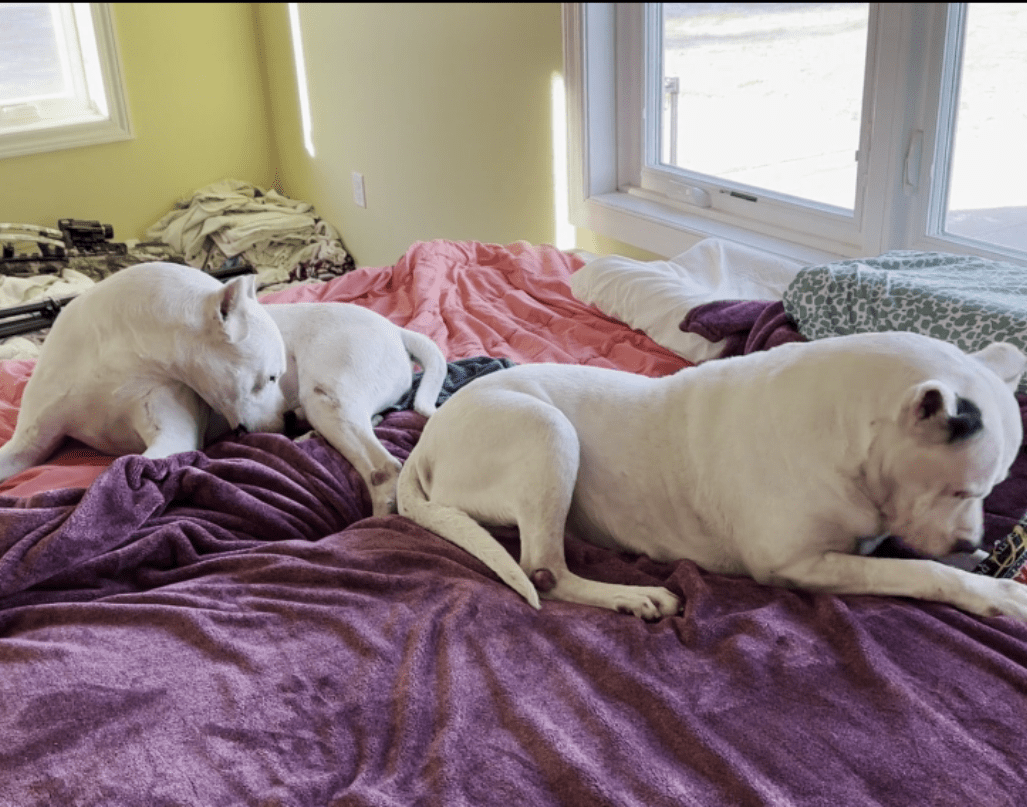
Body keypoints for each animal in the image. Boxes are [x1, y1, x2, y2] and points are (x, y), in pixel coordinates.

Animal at [394, 330, 1027, 620]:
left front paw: (984, 562)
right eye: (962, 488)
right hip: (546, 430)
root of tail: (429, 439)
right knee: (544, 571)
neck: (849, 435)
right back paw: (633, 596)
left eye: (991, 492)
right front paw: (999, 593)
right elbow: (921, 572)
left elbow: (918, 555)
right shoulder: (798, 565)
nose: (973, 537)